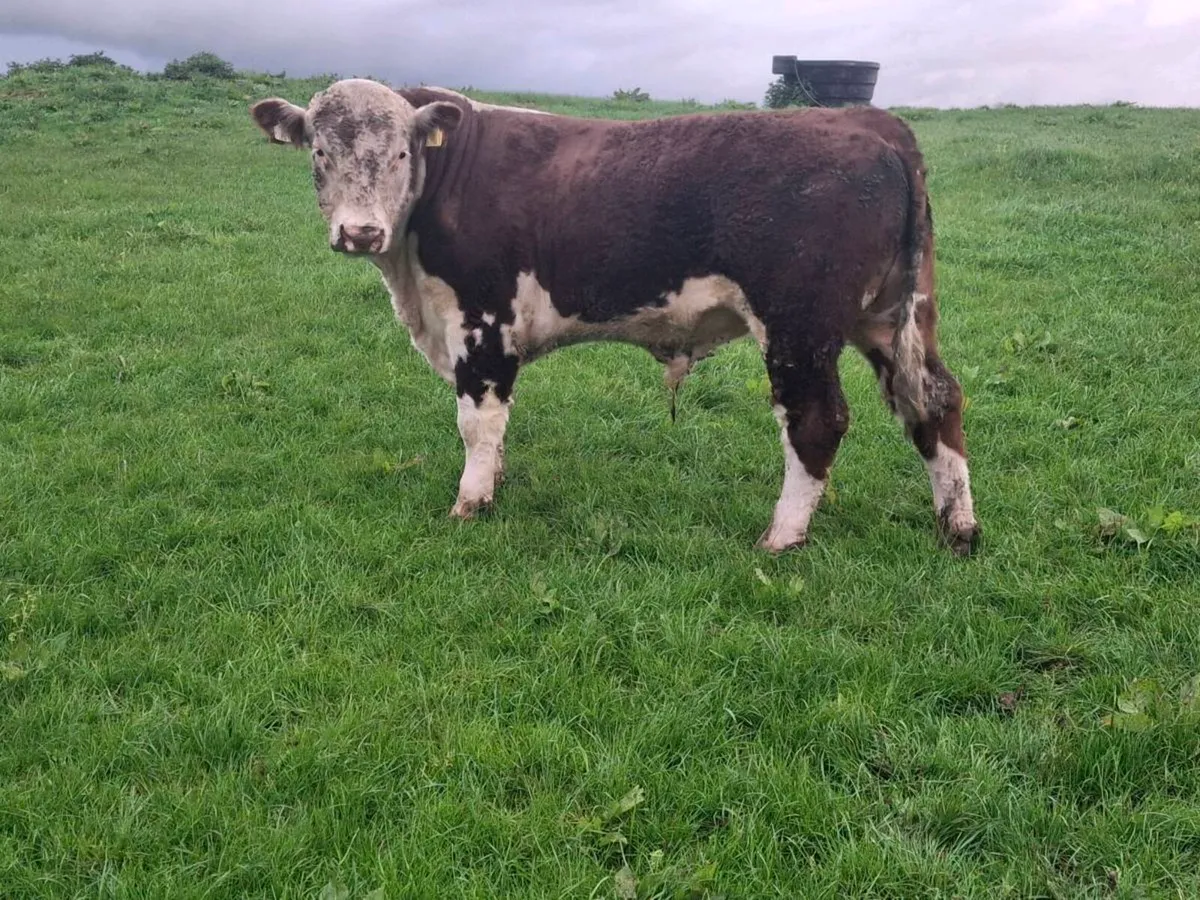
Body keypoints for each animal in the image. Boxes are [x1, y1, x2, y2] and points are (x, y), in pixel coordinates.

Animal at [248, 78, 980, 554]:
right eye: (320, 152)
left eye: (402, 152)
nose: (360, 232)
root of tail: (869, 121)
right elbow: (499, 423)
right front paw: (497, 483)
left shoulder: (483, 320)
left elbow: (478, 420)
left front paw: (471, 501)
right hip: (894, 315)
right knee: (935, 400)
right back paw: (958, 526)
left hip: (799, 324)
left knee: (818, 420)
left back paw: (781, 538)